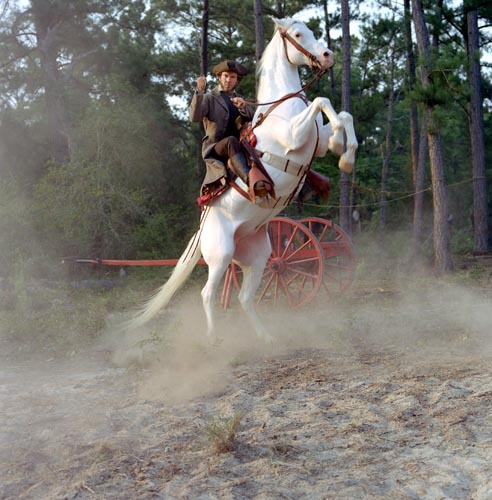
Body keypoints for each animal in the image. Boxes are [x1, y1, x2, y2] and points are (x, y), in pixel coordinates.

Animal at [131, 17, 358, 342]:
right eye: (298, 34)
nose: (327, 56)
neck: (284, 105)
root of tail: (202, 228)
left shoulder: (316, 142)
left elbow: (345, 116)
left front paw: (345, 155)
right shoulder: (294, 135)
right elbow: (322, 100)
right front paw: (342, 146)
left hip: (258, 258)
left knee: (245, 297)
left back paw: (265, 338)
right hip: (220, 256)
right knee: (207, 294)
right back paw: (214, 339)